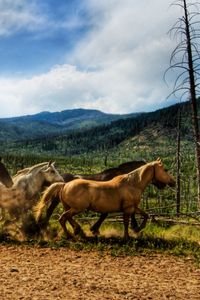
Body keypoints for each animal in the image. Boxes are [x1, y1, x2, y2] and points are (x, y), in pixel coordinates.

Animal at [34, 159, 175, 241]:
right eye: (165, 169)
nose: (173, 182)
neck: (132, 183)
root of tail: (64, 184)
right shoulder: (128, 208)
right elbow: (125, 221)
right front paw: (128, 235)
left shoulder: (133, 207)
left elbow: (145, 215)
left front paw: (137, 229)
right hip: (76, 208)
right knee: (61, 217)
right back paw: (69, 234)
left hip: (70, 207)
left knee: (65, 217)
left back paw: (77, 231)